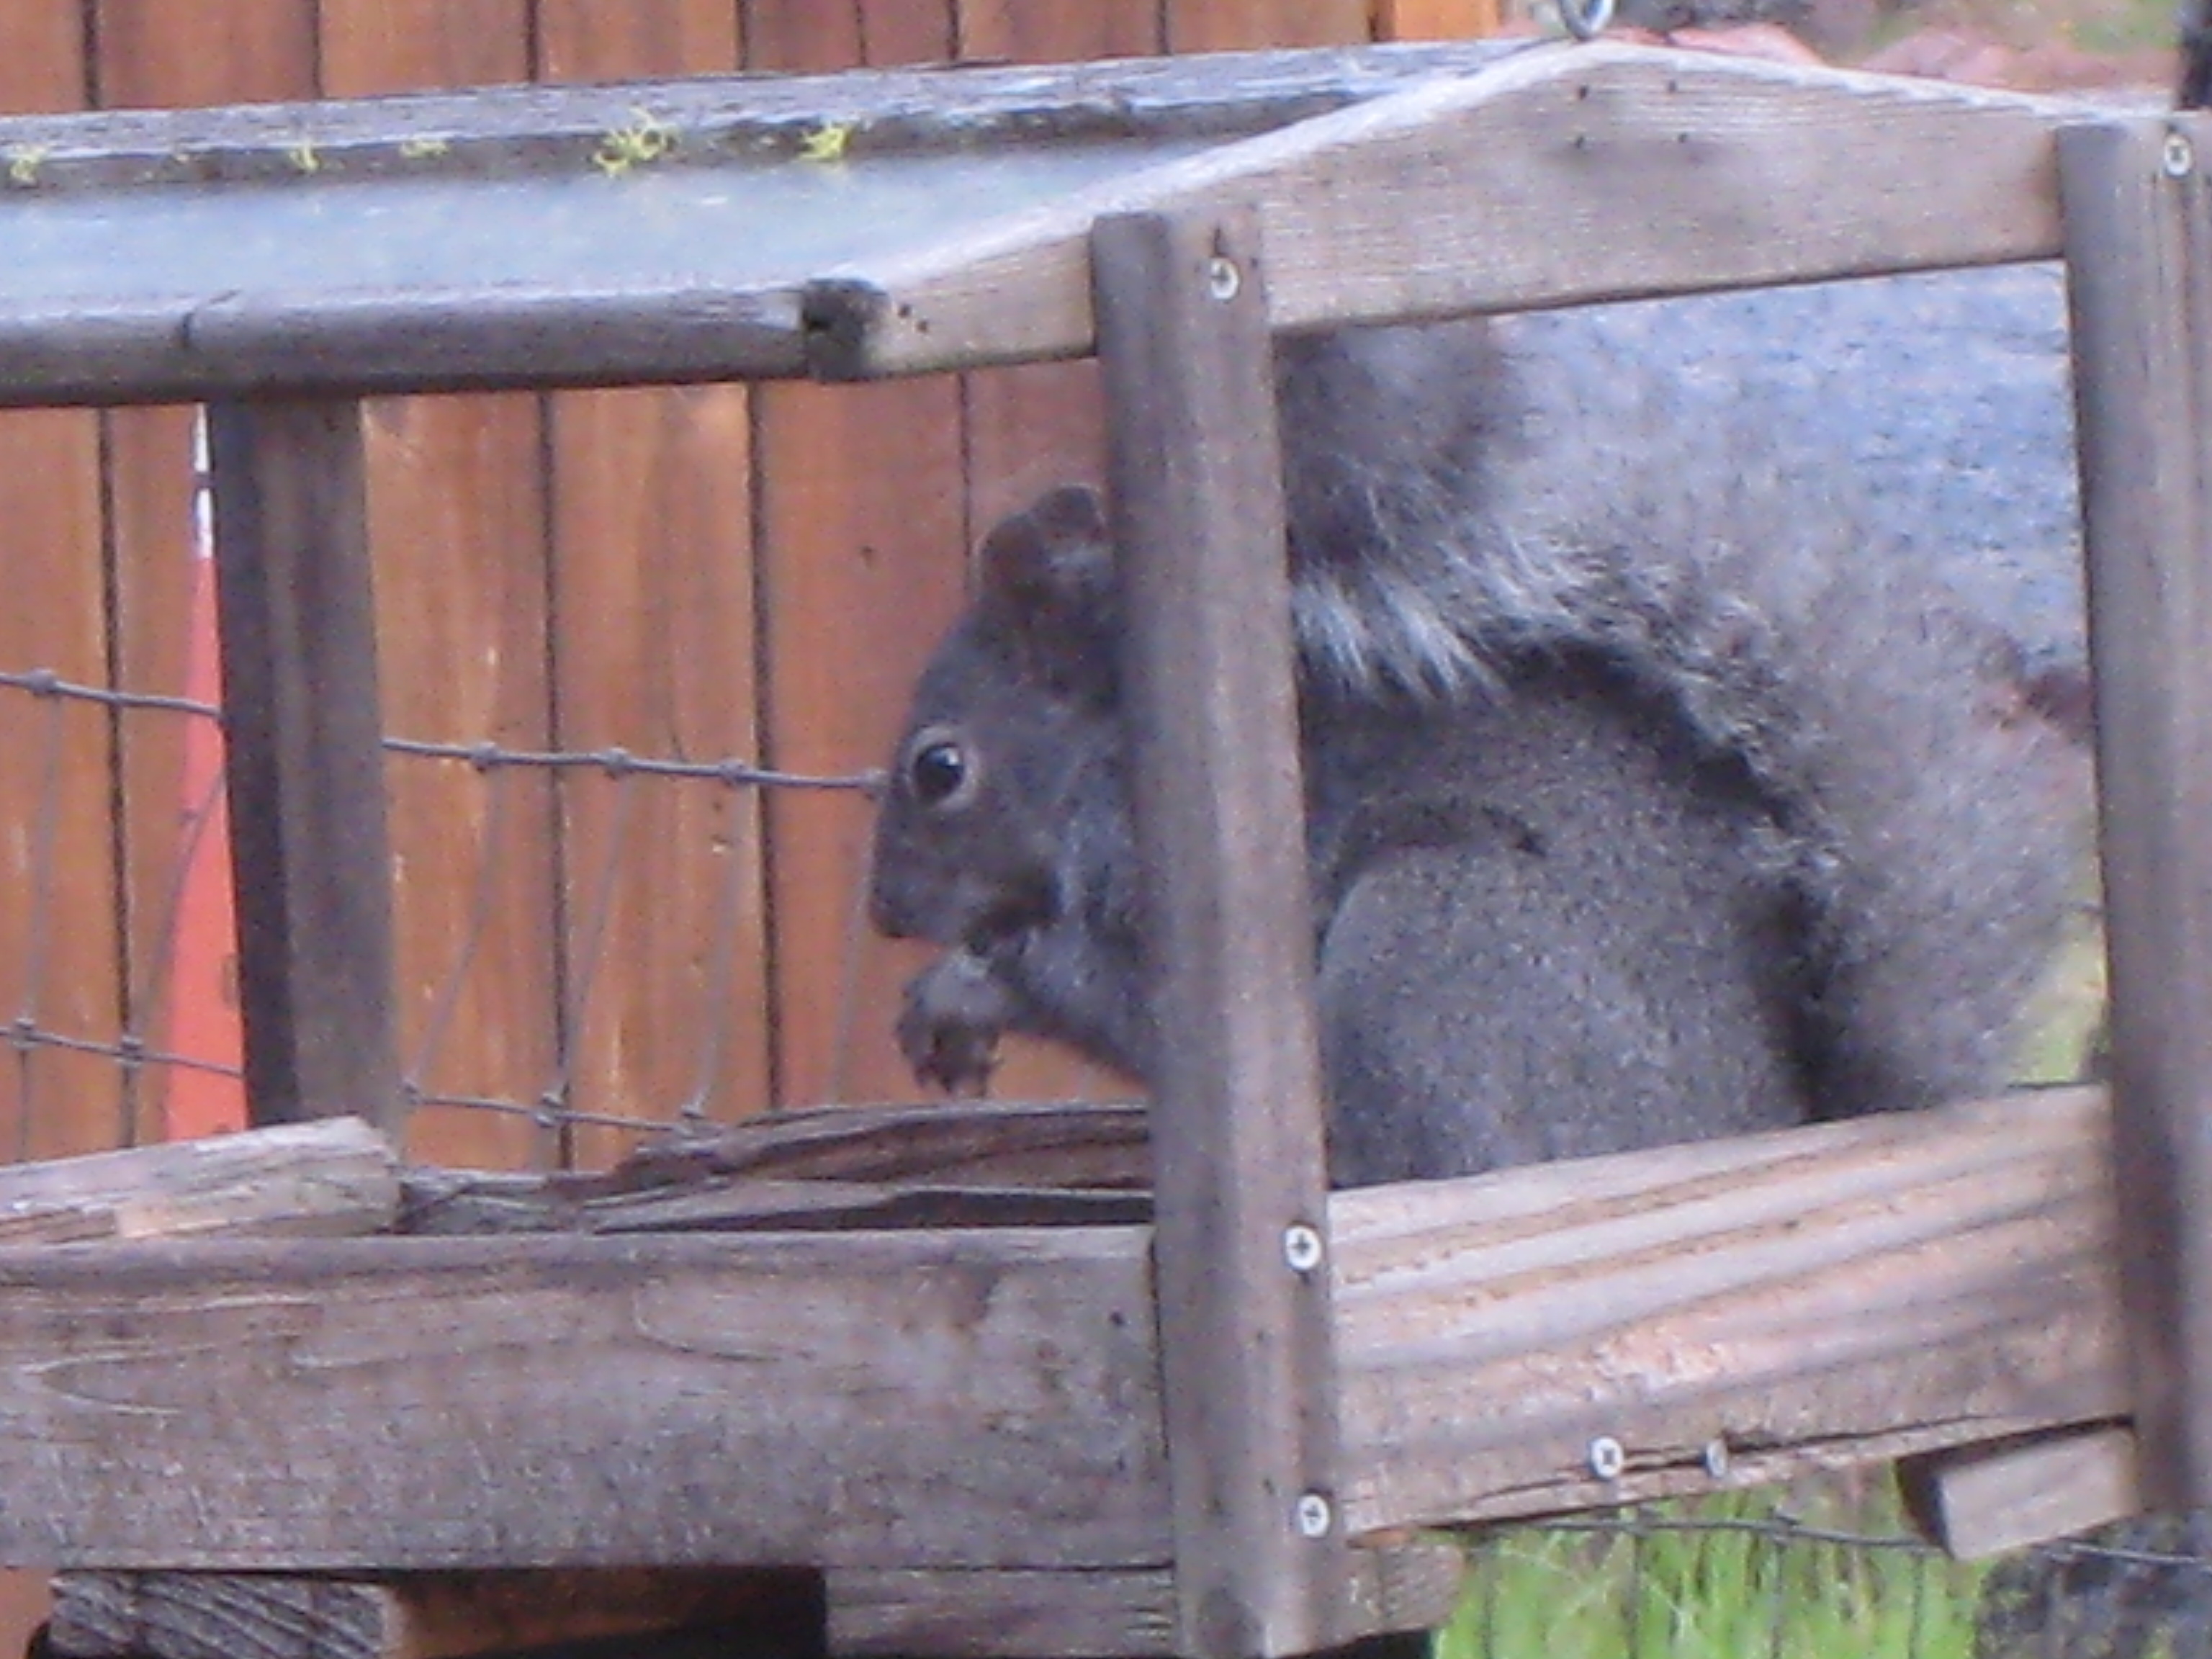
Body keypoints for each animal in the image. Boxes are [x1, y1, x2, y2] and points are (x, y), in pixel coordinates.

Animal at [863, 312, 2070, 1185]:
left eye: (939, 769)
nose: (884, 912)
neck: (1110, 751)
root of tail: (1773, 1126)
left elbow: (1130, 1004)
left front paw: (970, 986)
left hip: (1438, 946)